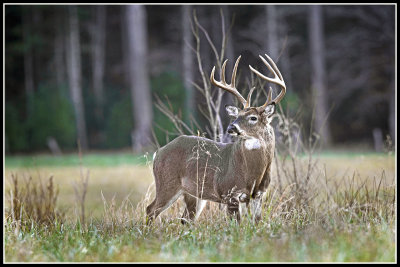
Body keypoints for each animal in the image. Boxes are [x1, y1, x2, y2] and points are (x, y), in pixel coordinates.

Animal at [145, 54, 286, 224]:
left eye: (253, 118)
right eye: (237, 115)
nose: (231, 127)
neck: (253, 174)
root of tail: (157, 153)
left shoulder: (259, 194)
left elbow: (258, 222)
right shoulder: (229, 193)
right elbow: (236, 224)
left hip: (193, 193)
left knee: (185, 219)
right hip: (167, 182)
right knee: (150, 209)